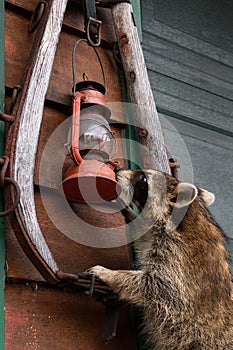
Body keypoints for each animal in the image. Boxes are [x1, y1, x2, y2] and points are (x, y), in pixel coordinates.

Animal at [88, 169, 233, 348]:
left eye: (143, 179)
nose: (117, 170)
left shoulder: (177, 263)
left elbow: (156, 286)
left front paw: (108, 273)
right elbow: (143, 238)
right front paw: (131, 214)